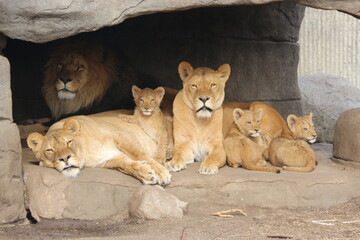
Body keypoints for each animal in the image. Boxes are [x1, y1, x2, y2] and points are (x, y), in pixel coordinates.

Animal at [27, 111, 171, 185]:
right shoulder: (109, 158)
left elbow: (140, 155)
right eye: (49, 150)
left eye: (68, 142)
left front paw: (161, 173)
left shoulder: (123, 135)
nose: (65, 158)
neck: (87, 151)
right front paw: (146, 174)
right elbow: (128, 166)